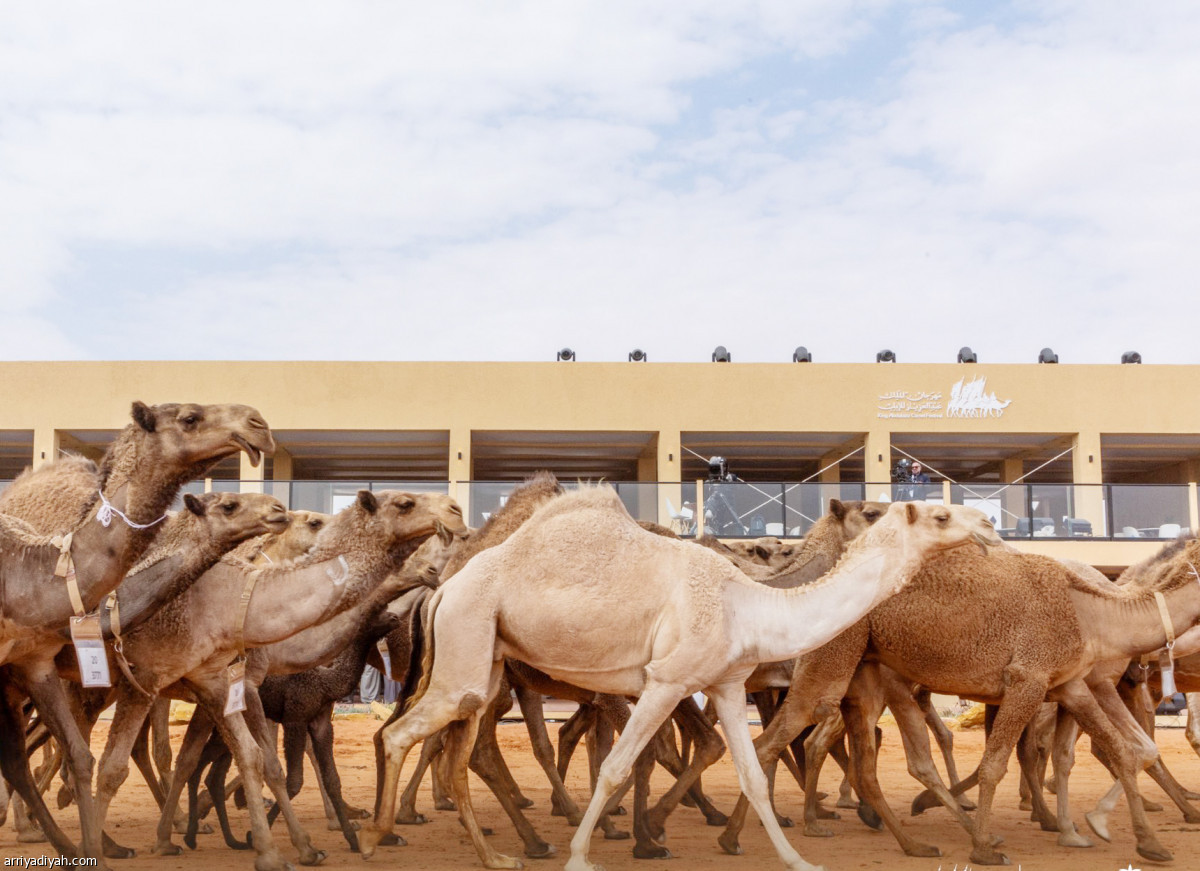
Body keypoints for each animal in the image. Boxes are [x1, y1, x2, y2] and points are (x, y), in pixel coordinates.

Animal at [355, 487, 993, 868]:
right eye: (940, 514)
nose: (988, 522)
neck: (751, 602)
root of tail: (443, 589)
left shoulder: (728, 685)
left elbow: (752, 773)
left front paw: (794, 857)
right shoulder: (665, 680)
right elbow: (617, 766)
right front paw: (588, 853)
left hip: (486, 662)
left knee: (457, 747)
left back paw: (494, 854)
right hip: (469, 640)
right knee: (404, 733)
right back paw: (377, 836)